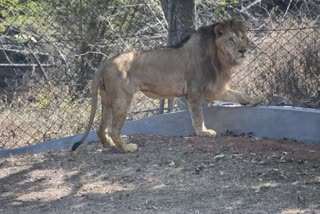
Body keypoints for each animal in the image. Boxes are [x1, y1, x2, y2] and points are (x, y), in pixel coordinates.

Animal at [72, 18, 264, 152]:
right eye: (231, 40)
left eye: (242, 37)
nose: (243, 50)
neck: (218, 56)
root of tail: (106, 61)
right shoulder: (195, 90)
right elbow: (198, 114)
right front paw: (203, 132)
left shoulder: (213, 88)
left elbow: (238, 94)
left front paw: (257, 99)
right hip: (122, 99)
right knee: (113, 129)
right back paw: (127, 148)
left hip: (107, 100)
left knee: (100, 128)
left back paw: (109, 145)